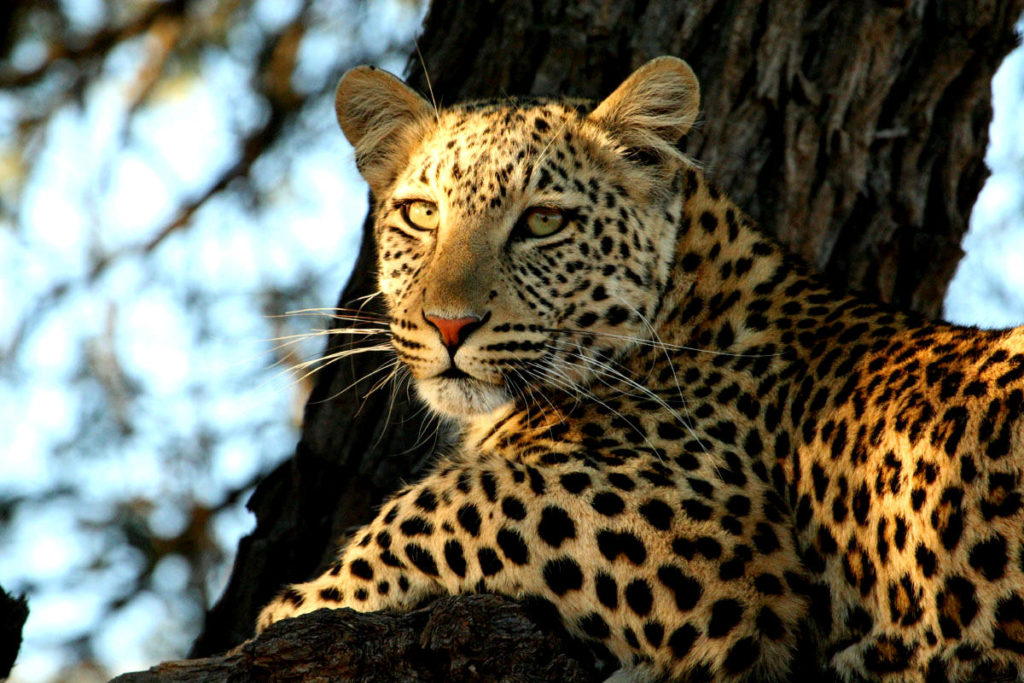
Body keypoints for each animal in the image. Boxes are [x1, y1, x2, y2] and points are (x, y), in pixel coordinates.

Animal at [256, 57, 1024, 682]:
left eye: (542, 222)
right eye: (420, 214)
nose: (448, 324)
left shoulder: (721, 550)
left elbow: (460, 496)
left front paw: (301, 603)